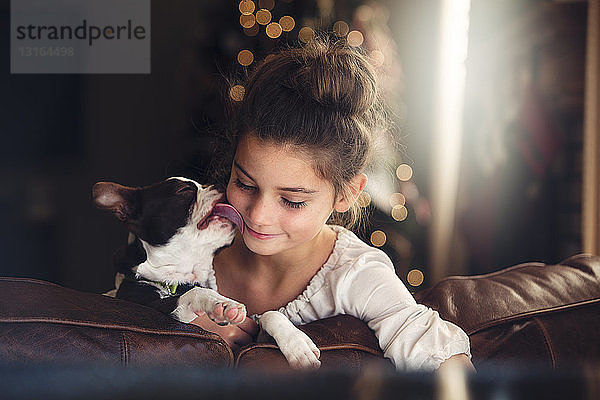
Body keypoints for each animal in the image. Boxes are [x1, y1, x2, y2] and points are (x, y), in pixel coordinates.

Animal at [92, 178, 322, 368]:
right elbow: (194, 293)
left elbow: (270, 314)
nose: (221, 183)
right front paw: (222, 304)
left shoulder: (255, 335)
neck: (183, 275)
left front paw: (297, 344)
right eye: (184, 190)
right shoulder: (157, 306)